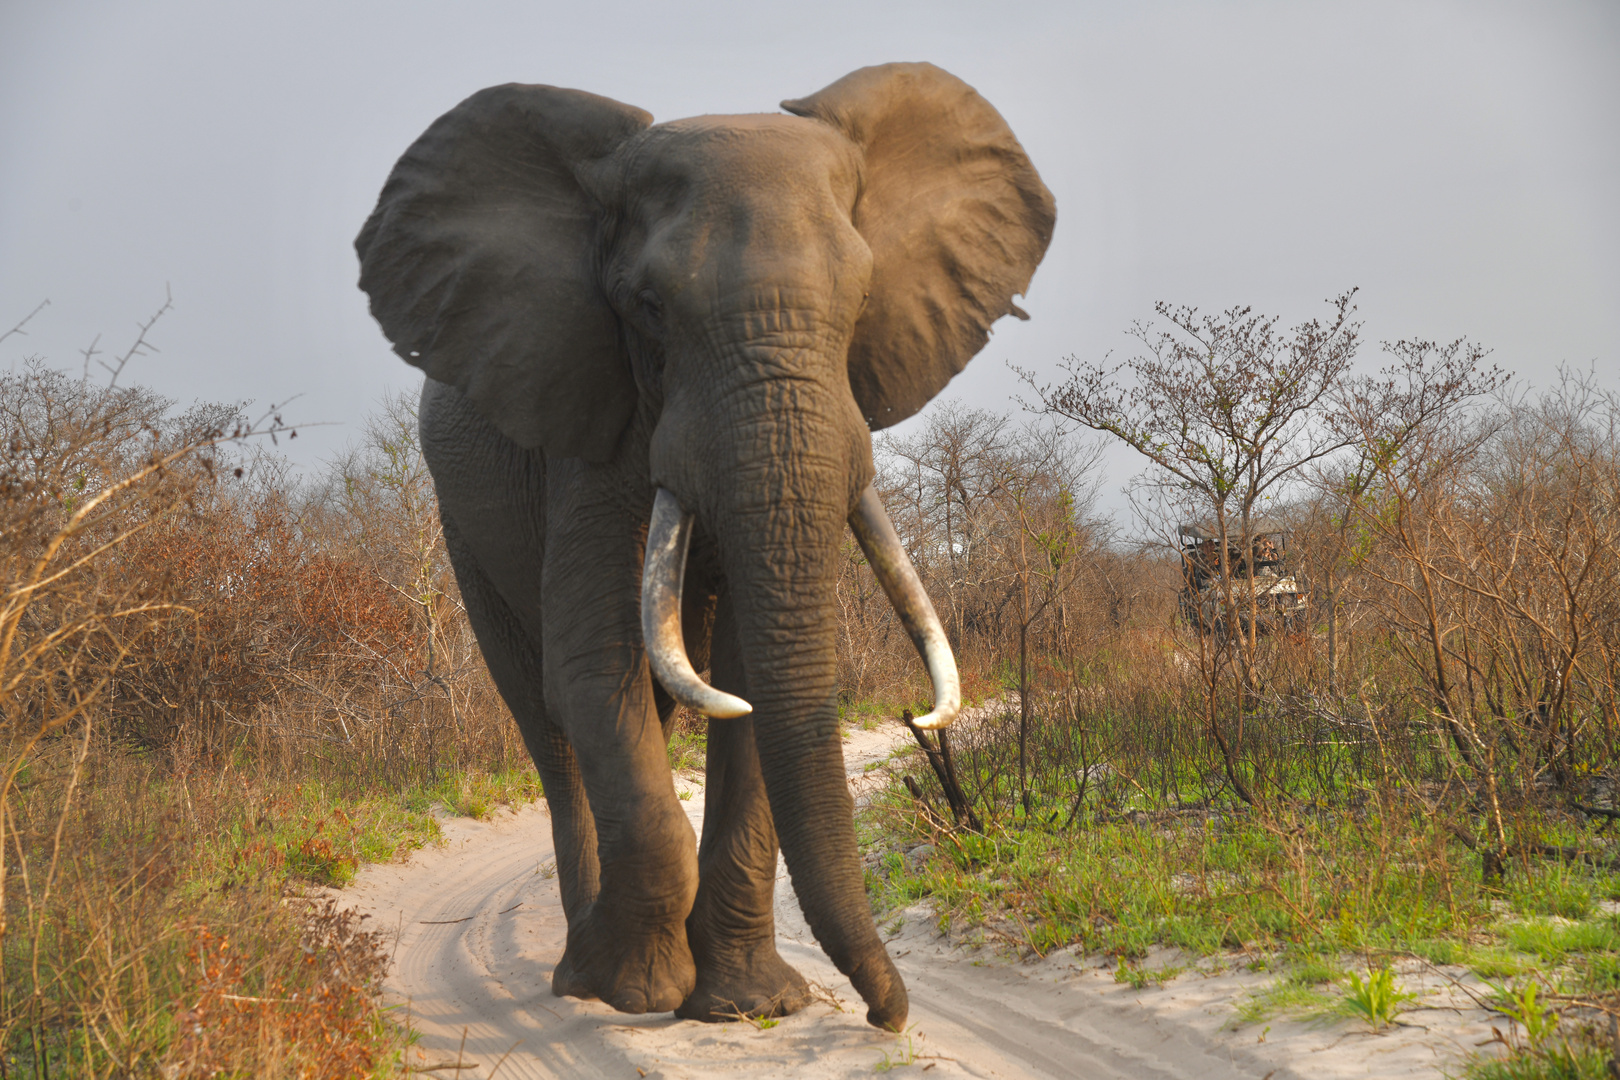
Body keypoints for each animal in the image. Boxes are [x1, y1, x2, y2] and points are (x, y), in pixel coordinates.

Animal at [356, 61, 1056, 1029]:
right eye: (649, 309)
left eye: (861, 297)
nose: (888, 1015)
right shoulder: (591, 425)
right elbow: (592, 664)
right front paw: (639, 994)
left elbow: (754, 681)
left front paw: (747, 1006)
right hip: (463, 529)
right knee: (550, 724)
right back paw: (579, 972)